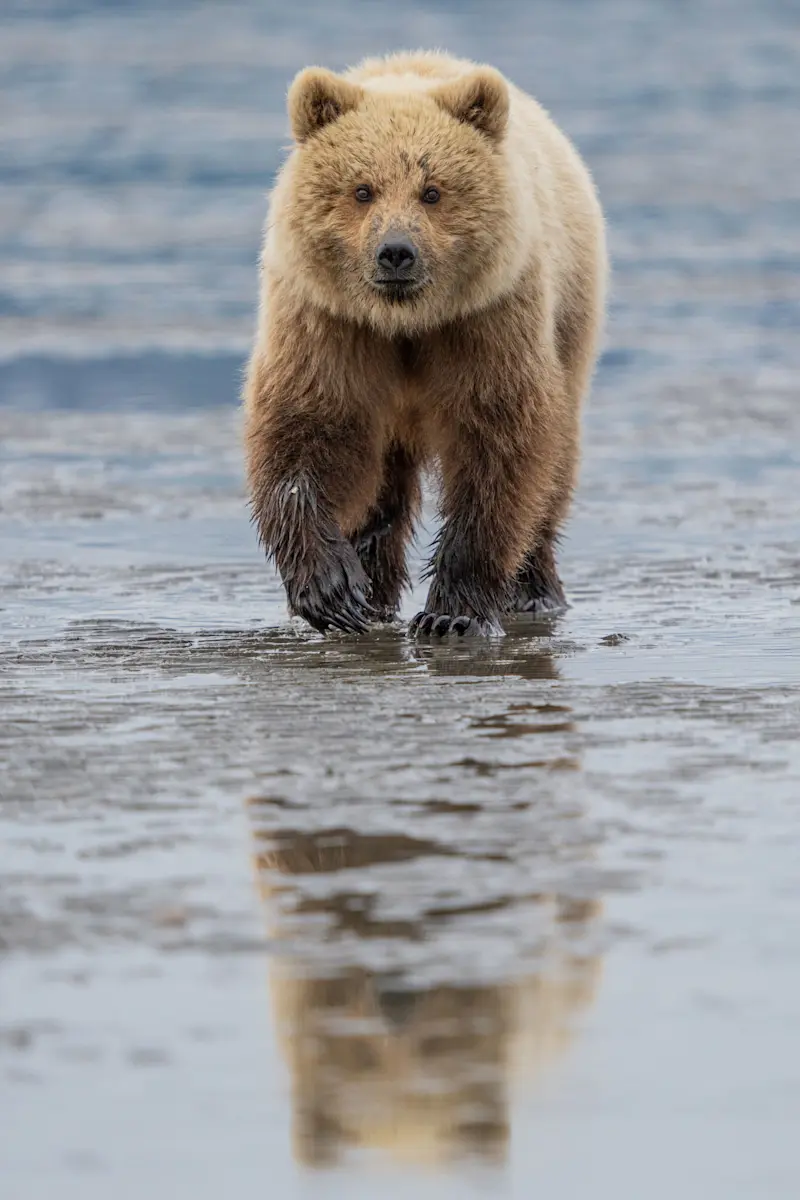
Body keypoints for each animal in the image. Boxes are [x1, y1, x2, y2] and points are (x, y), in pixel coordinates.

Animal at [244, 51, 607, 637]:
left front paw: (452, 613)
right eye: (362, 189)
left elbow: (499, 444)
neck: (406, 323)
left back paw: (533, 591)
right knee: (380, 484)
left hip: (569, 318)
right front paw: (332, 590)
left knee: (554, 465)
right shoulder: (327, 320)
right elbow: (305, 429)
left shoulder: (485, 318)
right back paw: (373, 586)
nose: (396, 252)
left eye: (432, 191)